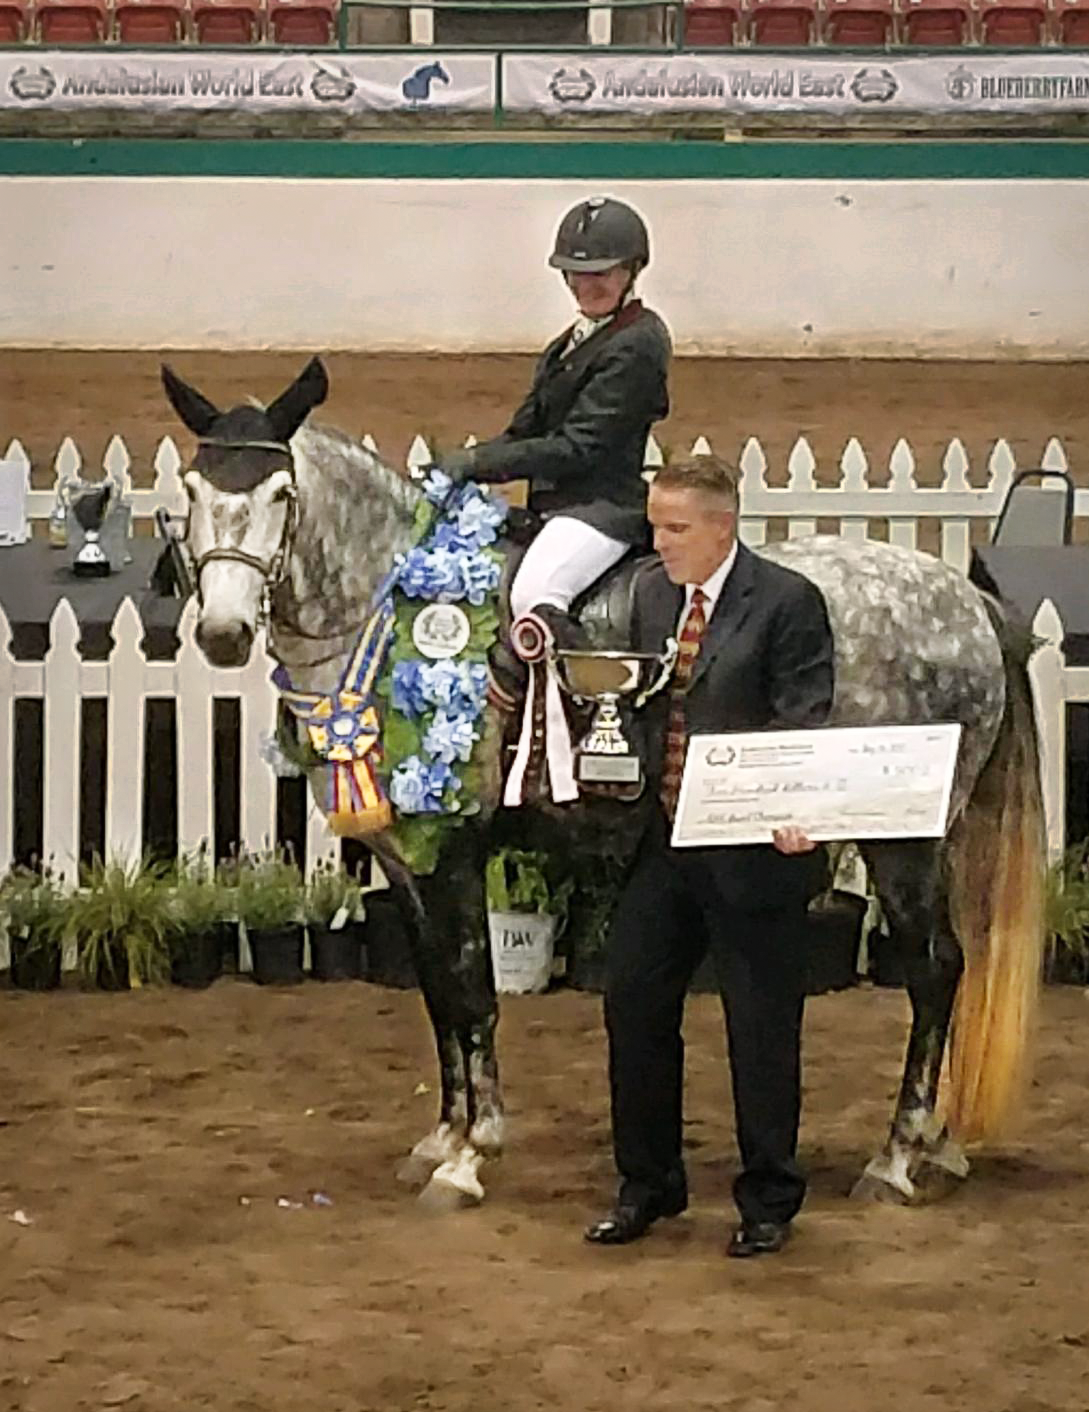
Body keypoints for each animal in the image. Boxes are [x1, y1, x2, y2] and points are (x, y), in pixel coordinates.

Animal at [163, 358, 1045, 1208]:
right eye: (193, 492)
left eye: (280, 495)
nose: (222, 634)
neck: (388, 605)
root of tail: (965, 598)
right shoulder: (401, 856)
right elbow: (437, 995)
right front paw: (441, 1139)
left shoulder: (453, 851)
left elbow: (472, 993)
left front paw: (471, 1157)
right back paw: (936, 1147)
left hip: (904, 839)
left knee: (933, 967)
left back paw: (895, 1159)